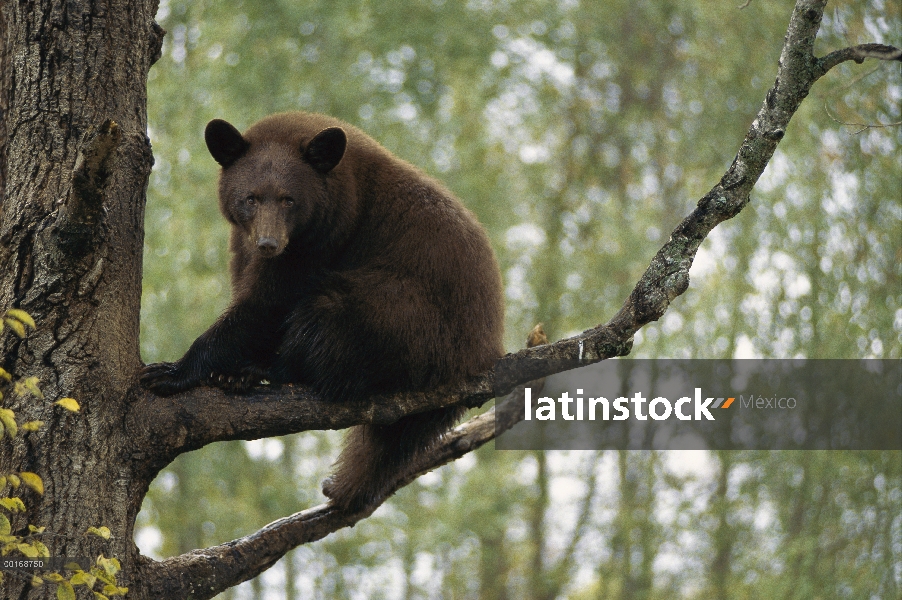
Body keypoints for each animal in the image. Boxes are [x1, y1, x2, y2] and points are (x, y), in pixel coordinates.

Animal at [142, 111, 508, 510]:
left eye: (289, 200)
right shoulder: (246, 244)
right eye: (250, 198)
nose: (269, 243)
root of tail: (481, 353)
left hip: (414, 323)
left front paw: (173, 371)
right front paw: (222, 372)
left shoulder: (324, 241)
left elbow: (265, 304)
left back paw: (267, 370)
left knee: (327, 318)